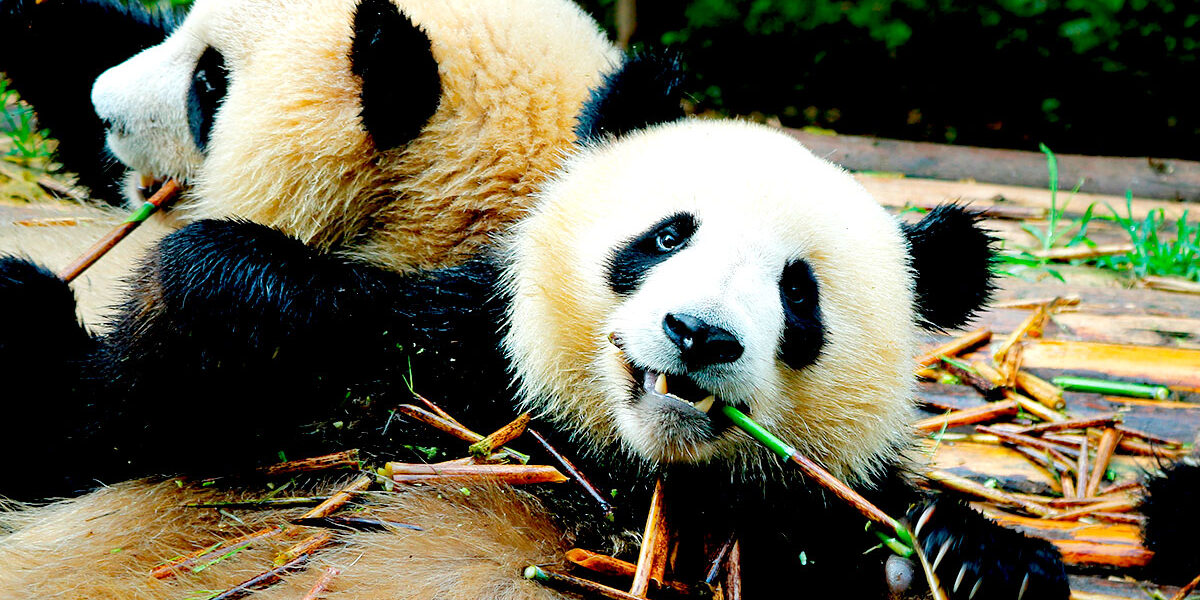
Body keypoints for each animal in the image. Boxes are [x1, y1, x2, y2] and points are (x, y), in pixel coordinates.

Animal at [0, 118, 1079, 599]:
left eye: (798, 293)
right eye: (667, 235)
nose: (700, 336)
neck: (621, 467)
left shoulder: (789, 520)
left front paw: (968, 560)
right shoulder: (455, 363)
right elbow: (81, 431)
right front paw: (252, 307)